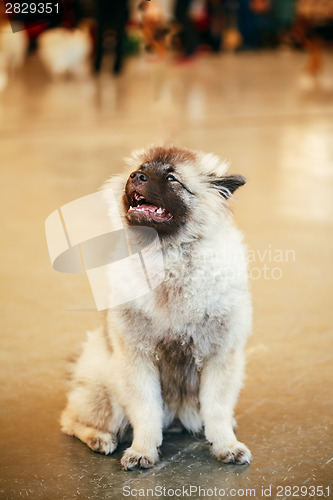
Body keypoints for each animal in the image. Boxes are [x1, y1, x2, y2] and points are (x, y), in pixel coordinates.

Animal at [60, 144, 252, 468]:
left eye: (172, 178)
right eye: (141, 169)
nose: (135, 176)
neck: (169, 259)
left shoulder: (220, 357)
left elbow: (217, 410)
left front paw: (227, 445)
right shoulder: (137, 358)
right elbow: (145, 413)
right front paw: (142, 450)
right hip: (108, 385)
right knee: (71, 420)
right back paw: (100, 438)